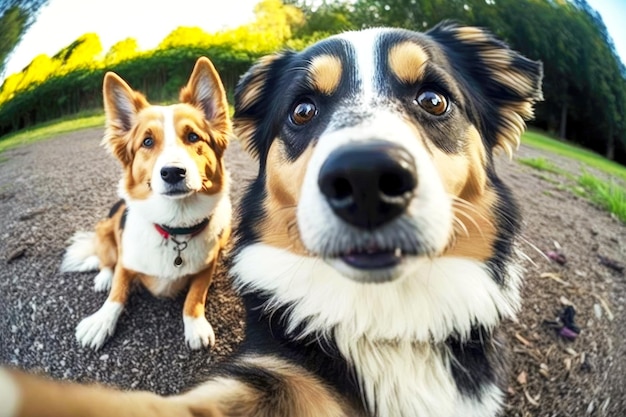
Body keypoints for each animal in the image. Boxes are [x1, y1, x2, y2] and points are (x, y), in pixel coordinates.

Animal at [59, 57, 232, 350]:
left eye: (193, 137)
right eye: (147, 142)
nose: (173, 172)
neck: (175, 227)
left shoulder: (206, 268)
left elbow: (195, 295)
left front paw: (195, 325)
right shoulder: (126, 262)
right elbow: (118, 291)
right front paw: (101, 321)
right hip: (105, 229)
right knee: (106, 261)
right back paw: (103, 276)